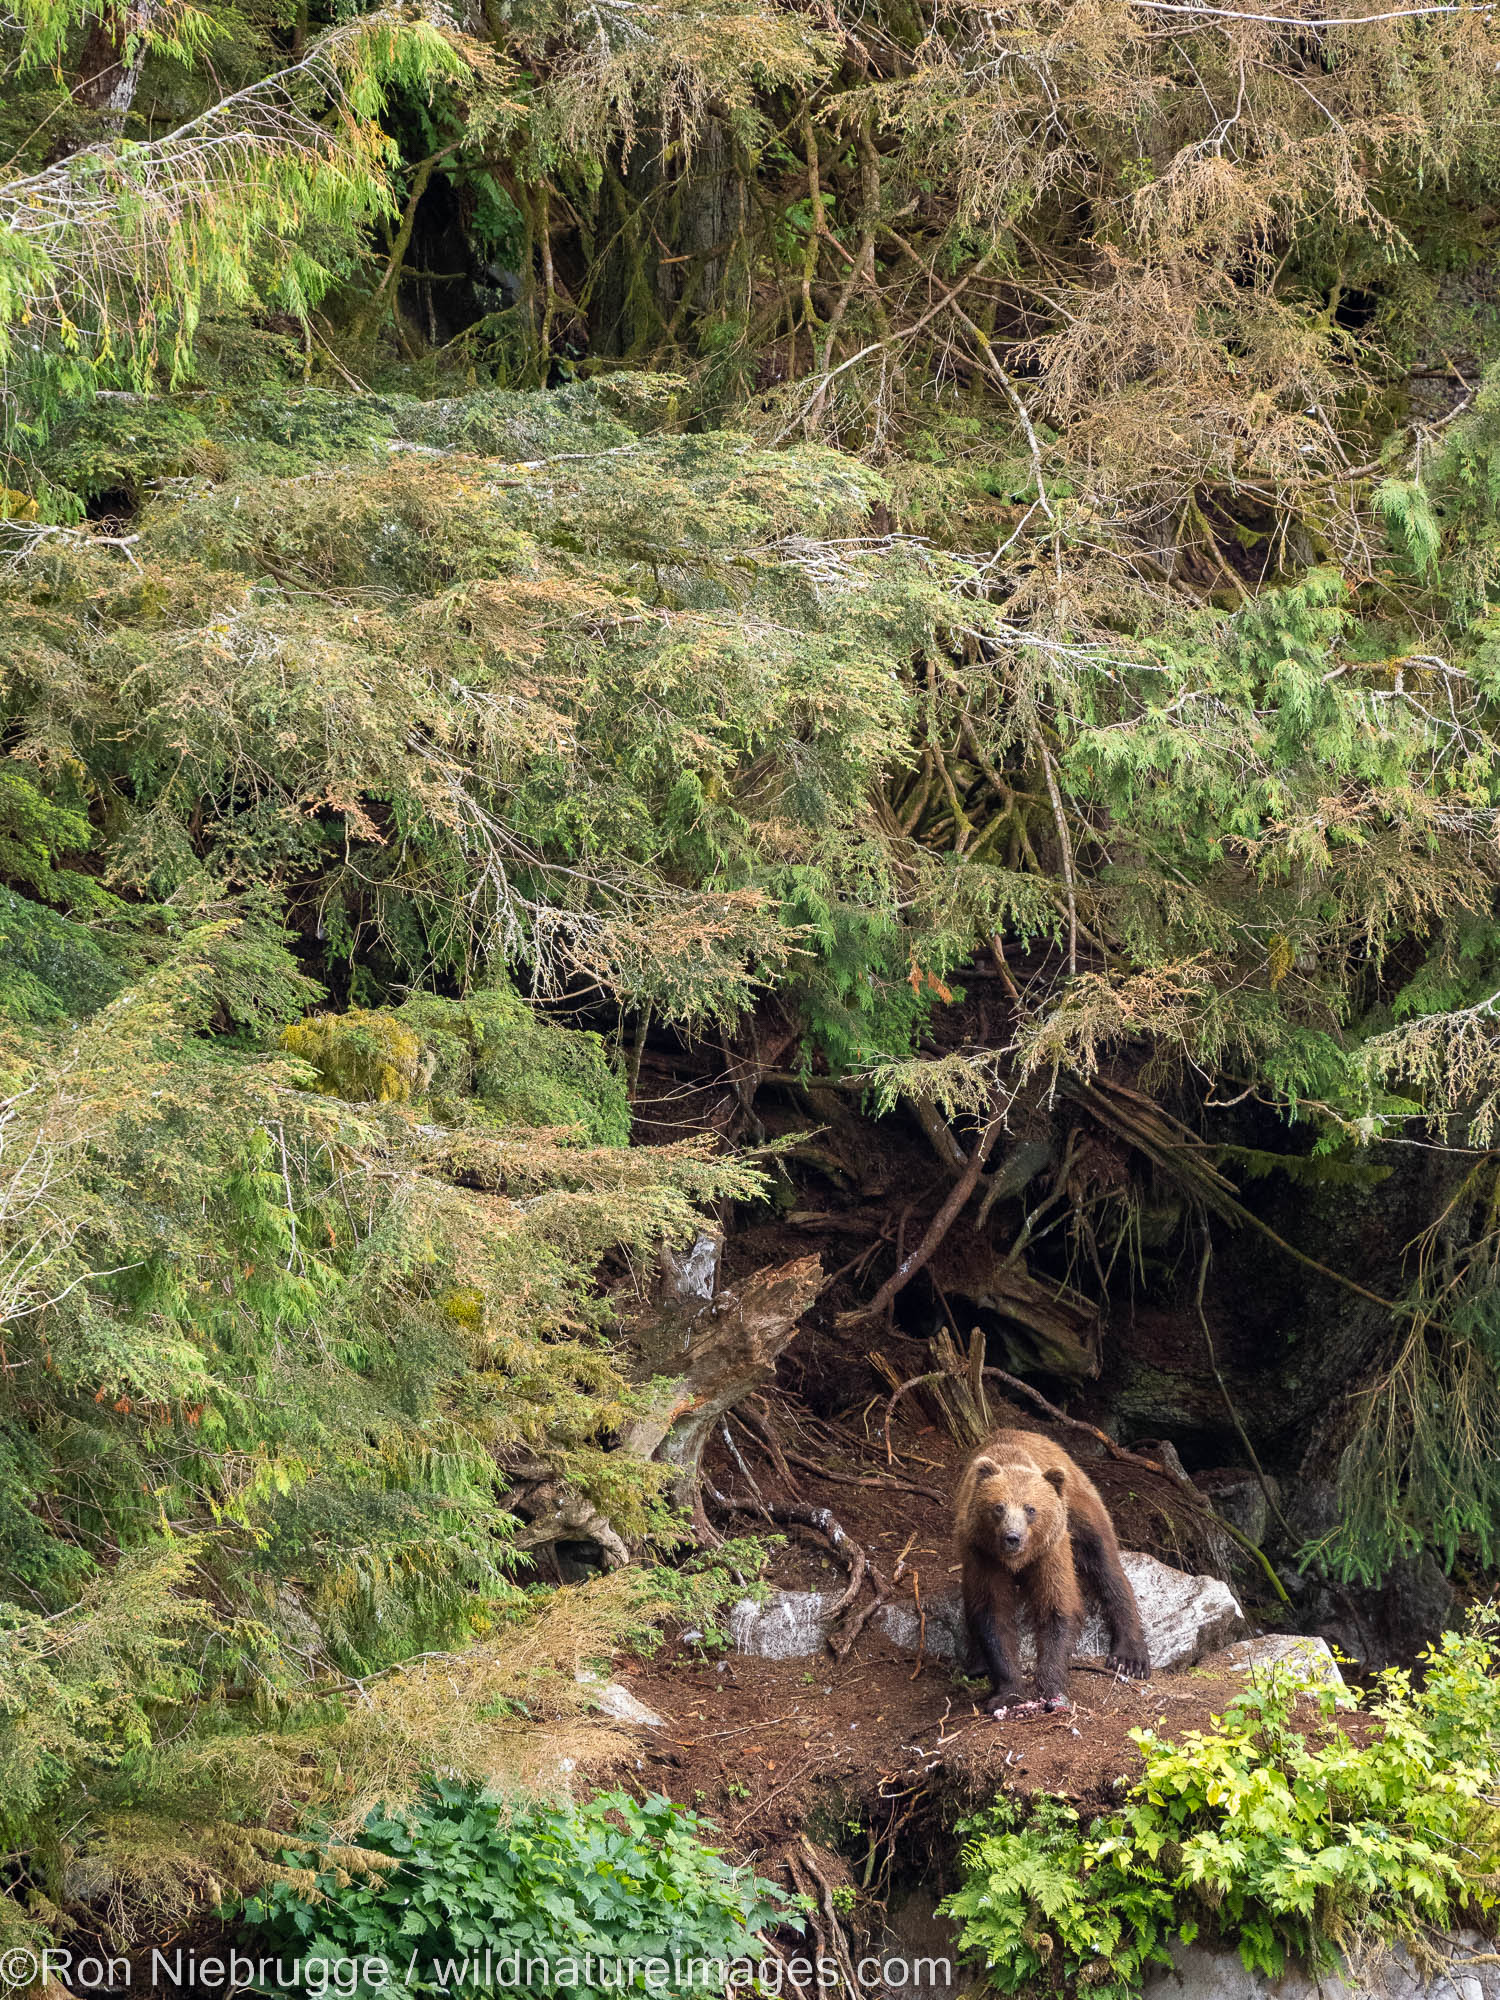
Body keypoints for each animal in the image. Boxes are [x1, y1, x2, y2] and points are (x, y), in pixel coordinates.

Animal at [956, 1424, 1160, 1720]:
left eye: (1031, 1509)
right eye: (998, 1507)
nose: (1012, 1537)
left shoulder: (1050, 1551)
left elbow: (1057, 1607)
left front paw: (1050, 1688)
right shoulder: (982, 1554)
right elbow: (992, 1613)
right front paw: (1007, 1693)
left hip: (1080, 1510)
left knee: (1107, 1566)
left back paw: (1129, 1657)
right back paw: (976, 1664)